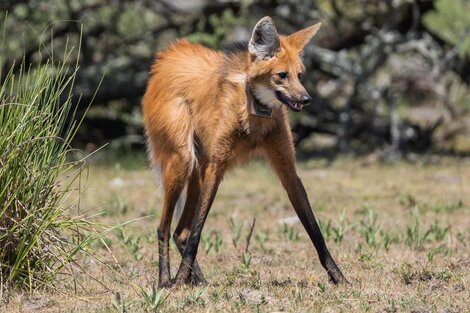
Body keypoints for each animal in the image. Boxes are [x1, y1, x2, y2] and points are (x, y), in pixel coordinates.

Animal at [141, 16, 346, 286]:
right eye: (282, 75)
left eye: (300, 75)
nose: (306, 99)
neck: (255, 113)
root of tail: (168, 54)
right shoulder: (217, 166)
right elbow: (198, 229)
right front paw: (177, 281)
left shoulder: (287, 168)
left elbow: (314, 228)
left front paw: (339, 277)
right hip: (183, 160)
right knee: (164, 227)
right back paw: (166, 281)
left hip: (198, 167)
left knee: (180, 231)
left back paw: (196, 281)